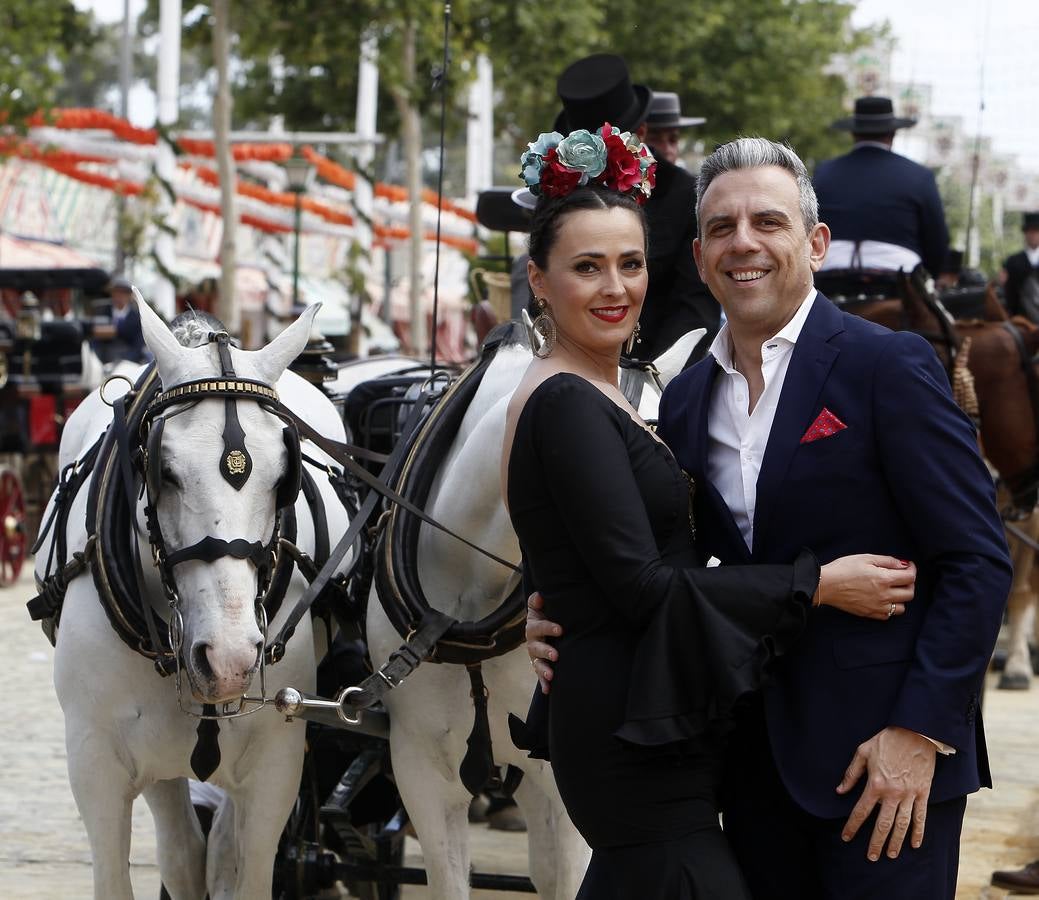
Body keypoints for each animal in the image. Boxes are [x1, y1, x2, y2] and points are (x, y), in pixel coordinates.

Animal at [37, 299, 353, 889]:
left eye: (285, 477)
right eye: (163, 470)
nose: (229, 660)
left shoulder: (275, 768)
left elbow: (246, 869)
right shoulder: (95, 766)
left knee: (219, 848)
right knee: (182, 850)